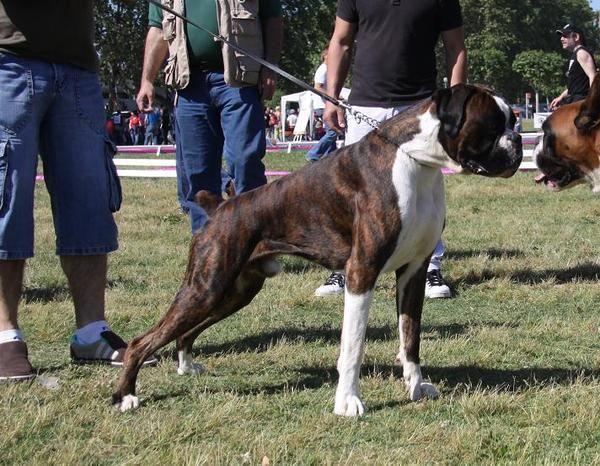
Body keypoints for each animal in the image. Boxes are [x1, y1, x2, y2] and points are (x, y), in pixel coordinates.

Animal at [115, 84, 524, 416]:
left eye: (513, 119)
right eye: (494, 124)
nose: (517, 138)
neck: (415, 160)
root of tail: (221, 208)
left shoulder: (413, 271)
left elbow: (410, 339)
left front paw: (416, 386)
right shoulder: (362, 272)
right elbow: (352, 347)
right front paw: (348, 402)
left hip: (234, 291)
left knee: (186, 331)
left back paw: (186, 365)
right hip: (207, 285)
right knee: (142, 341)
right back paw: (126, 396)